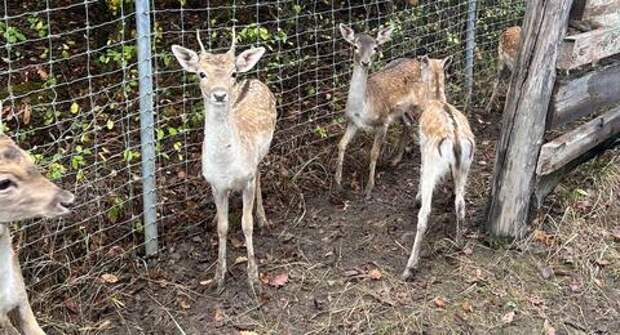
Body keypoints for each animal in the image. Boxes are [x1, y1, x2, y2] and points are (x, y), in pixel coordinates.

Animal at [170, 30, 276, 296]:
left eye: (233, 73)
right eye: (201, 73)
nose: (219, 94)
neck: (227, 165)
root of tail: (253, 79)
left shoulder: (247, 178)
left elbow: (246, 225)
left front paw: (254, 279)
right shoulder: (215, 185)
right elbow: (223, 227)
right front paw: (218, 278)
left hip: (262, 153)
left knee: (260, 173)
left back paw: (263, 219)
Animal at [334, 24, 432, 200]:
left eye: (375, 47)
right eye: (355, 46)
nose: (365, 62)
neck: (363, 108)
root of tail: (417, 62)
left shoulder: (383, 122)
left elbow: (373, 153)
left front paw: (368, 189)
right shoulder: (353, 122)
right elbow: (341, 144)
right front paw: (338, 184)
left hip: (422, 101)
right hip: (401, 110)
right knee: (408, 123)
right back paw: (395, 160)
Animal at [400, 58, 478, 280]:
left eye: (421, 67)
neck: (435, 100)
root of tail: (456, 138)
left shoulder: (424, 152)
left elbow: (419, 170)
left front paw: (416, 198)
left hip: (434, 164)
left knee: (425, 213)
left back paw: (410, 267)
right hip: (466, 165)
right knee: (461, 203)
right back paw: (459, 242)